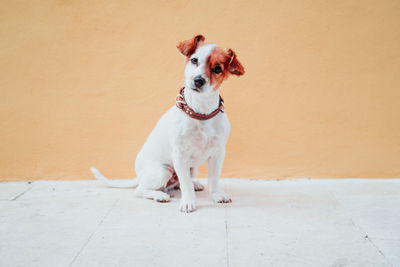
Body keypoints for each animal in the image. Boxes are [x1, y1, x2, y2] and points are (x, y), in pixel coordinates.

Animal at [91, 34, 244, 214]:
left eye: (217, 69)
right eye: (194, 60)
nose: (198, 80)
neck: (201, 112)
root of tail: (139, 176)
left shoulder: (218, 153)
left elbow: (213, 178)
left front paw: (217, 195)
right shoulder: (180, 155)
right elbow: (186, 185)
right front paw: (188, 202)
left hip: (191, 169)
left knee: (177, 184)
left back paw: (193, 184)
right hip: (162, 171)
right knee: (142, 190)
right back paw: (159, 195)